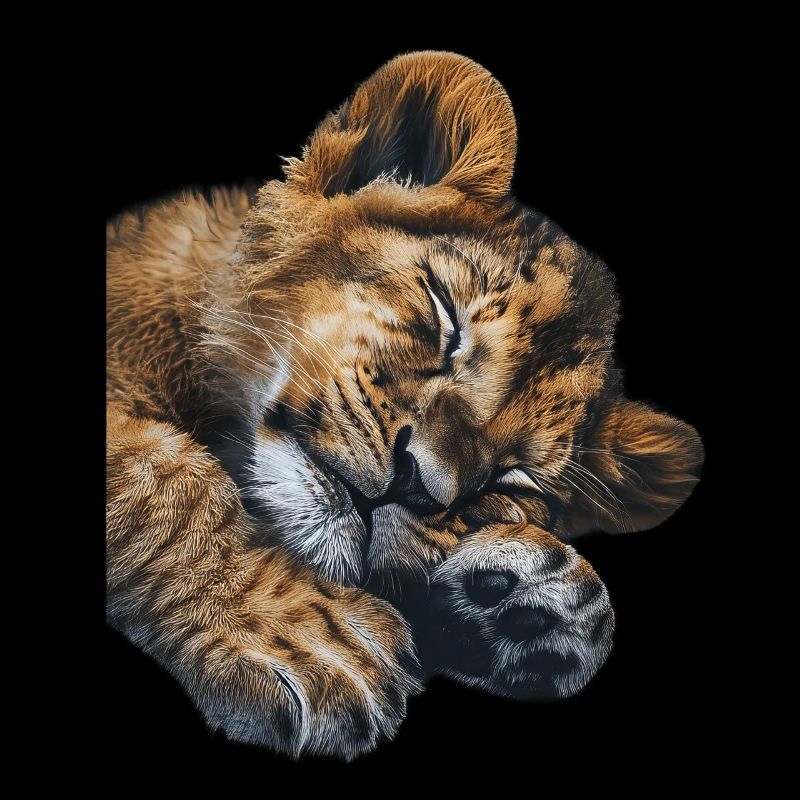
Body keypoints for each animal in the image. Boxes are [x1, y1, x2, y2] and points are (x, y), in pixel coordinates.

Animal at [106, 51, 703, 758]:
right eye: (444, 317)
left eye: (515, 478)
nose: (415, 483)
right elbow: (163, 482)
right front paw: (310, 642)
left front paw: (534, 610)